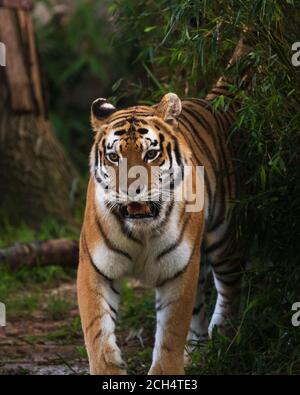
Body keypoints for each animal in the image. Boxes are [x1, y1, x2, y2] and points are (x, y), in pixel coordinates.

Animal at [76, 33, 252, 374]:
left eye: (151, 153)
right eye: (114, 156)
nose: (132, 191)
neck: (141, 231)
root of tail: (212, 100)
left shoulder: (179, 269)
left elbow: (171, 332)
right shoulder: (94, 267)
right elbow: (97, 332)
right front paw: (108, 368)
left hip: (223, 237)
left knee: (229, 288)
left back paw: (222, 338)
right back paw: (198, 352)